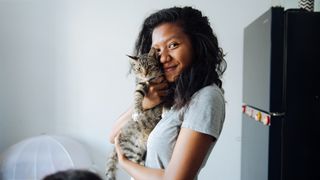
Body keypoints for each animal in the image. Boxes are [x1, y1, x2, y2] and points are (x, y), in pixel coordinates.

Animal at [106, 47, 165, 179]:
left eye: (150, 66)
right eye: (138, 69)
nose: (145, 74)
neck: (151, 81)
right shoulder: (141, 84)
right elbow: (137, 95)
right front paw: (137, 111)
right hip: (131, 147)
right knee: (134, 163)